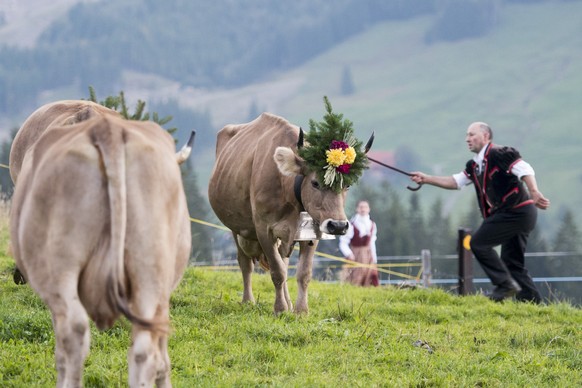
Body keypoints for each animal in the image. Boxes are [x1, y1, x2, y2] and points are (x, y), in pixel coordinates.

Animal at [9, 101, 192, 388]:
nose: (18, 276)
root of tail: (105, 129)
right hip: (150, 269)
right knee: (145, 348)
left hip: (61, 266)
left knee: (72, 335)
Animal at [211, 113, 354, 316]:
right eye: (315, 183)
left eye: (347, 185)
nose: (339, 225)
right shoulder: (264, 230)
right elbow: (277, 272)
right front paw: (280, 309)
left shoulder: (312, 232)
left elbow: (303, 273)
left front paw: (301, 310)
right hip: (236, 227)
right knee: (246, 263)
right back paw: (248, 300)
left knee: (284, 264)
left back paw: (289, 303)